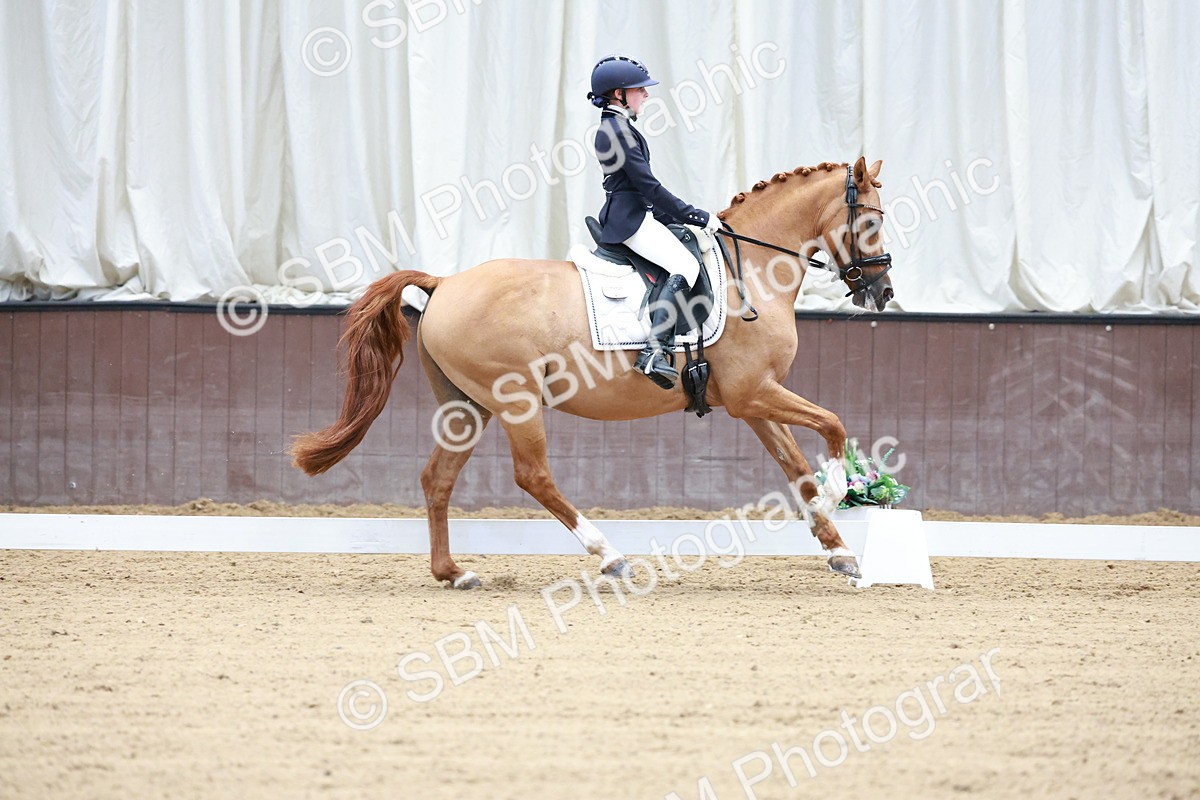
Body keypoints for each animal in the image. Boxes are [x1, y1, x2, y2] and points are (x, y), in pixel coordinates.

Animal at [291, 156, 893, 589]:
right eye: (869, 219)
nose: (882, 292)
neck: (756, 271)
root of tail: (445, 283)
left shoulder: (752, 400)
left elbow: (797, 468)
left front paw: (841, 553)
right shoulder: (754, 393)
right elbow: (833, 425)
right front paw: (840, 496)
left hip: (468, 406)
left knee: (437, 478)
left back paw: (454, 573)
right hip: (515, 401)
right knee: (533, 476)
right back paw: (610, 557)